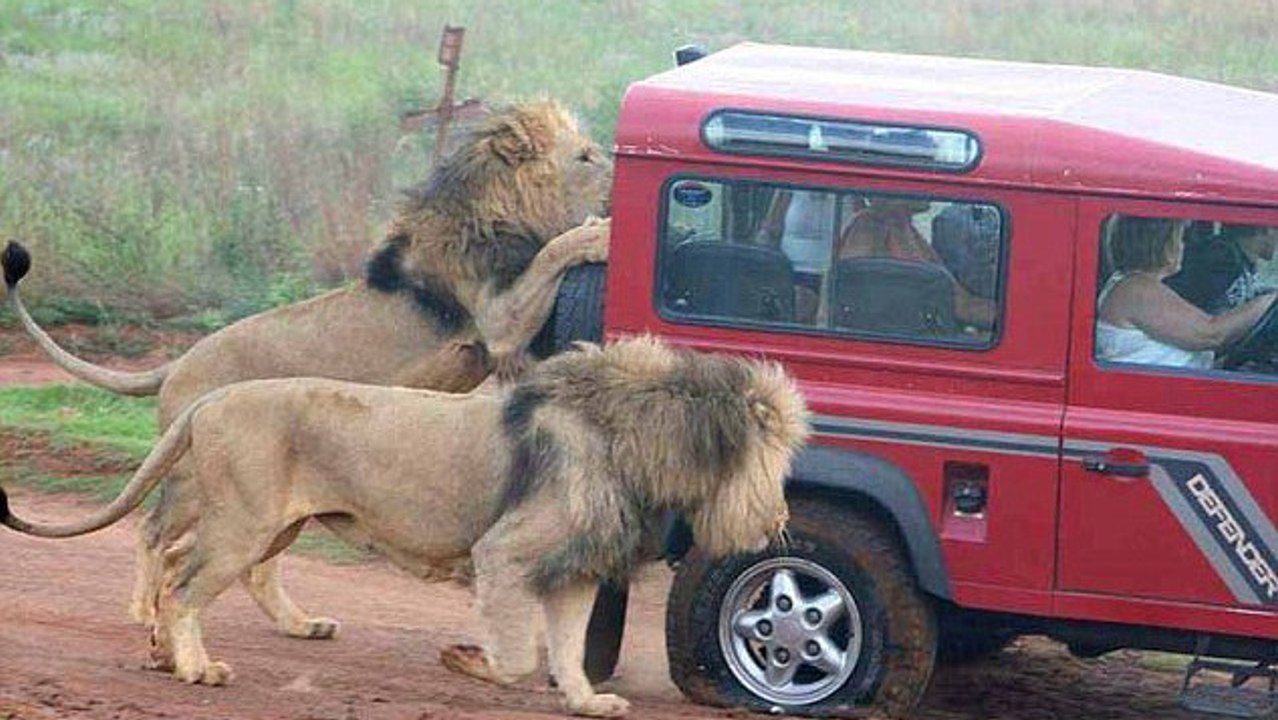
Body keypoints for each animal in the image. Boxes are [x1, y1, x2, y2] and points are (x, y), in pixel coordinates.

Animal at [0, 100, 613, 638]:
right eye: (585, 156)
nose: (614, 169)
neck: (501, 205)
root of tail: (176, 363)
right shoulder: (497, 318)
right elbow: (554, 250)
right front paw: (596, 234)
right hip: (194, 478)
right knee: (155, 533)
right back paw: (146, 613)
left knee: (253, 565)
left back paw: (298, 625)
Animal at [0, 337, 810, 718]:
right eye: (773, 456)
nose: (779, 518)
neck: (633, 441)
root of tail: (212, 398)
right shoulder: (505, 552)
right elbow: (519, 653)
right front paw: (466, 659)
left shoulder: (574, 568)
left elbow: (569, 648)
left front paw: (587, 702)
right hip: (243, 522)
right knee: (182, 584)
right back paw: (197, 667)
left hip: (267, 523)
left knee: (185, 567)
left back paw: (174, 654)